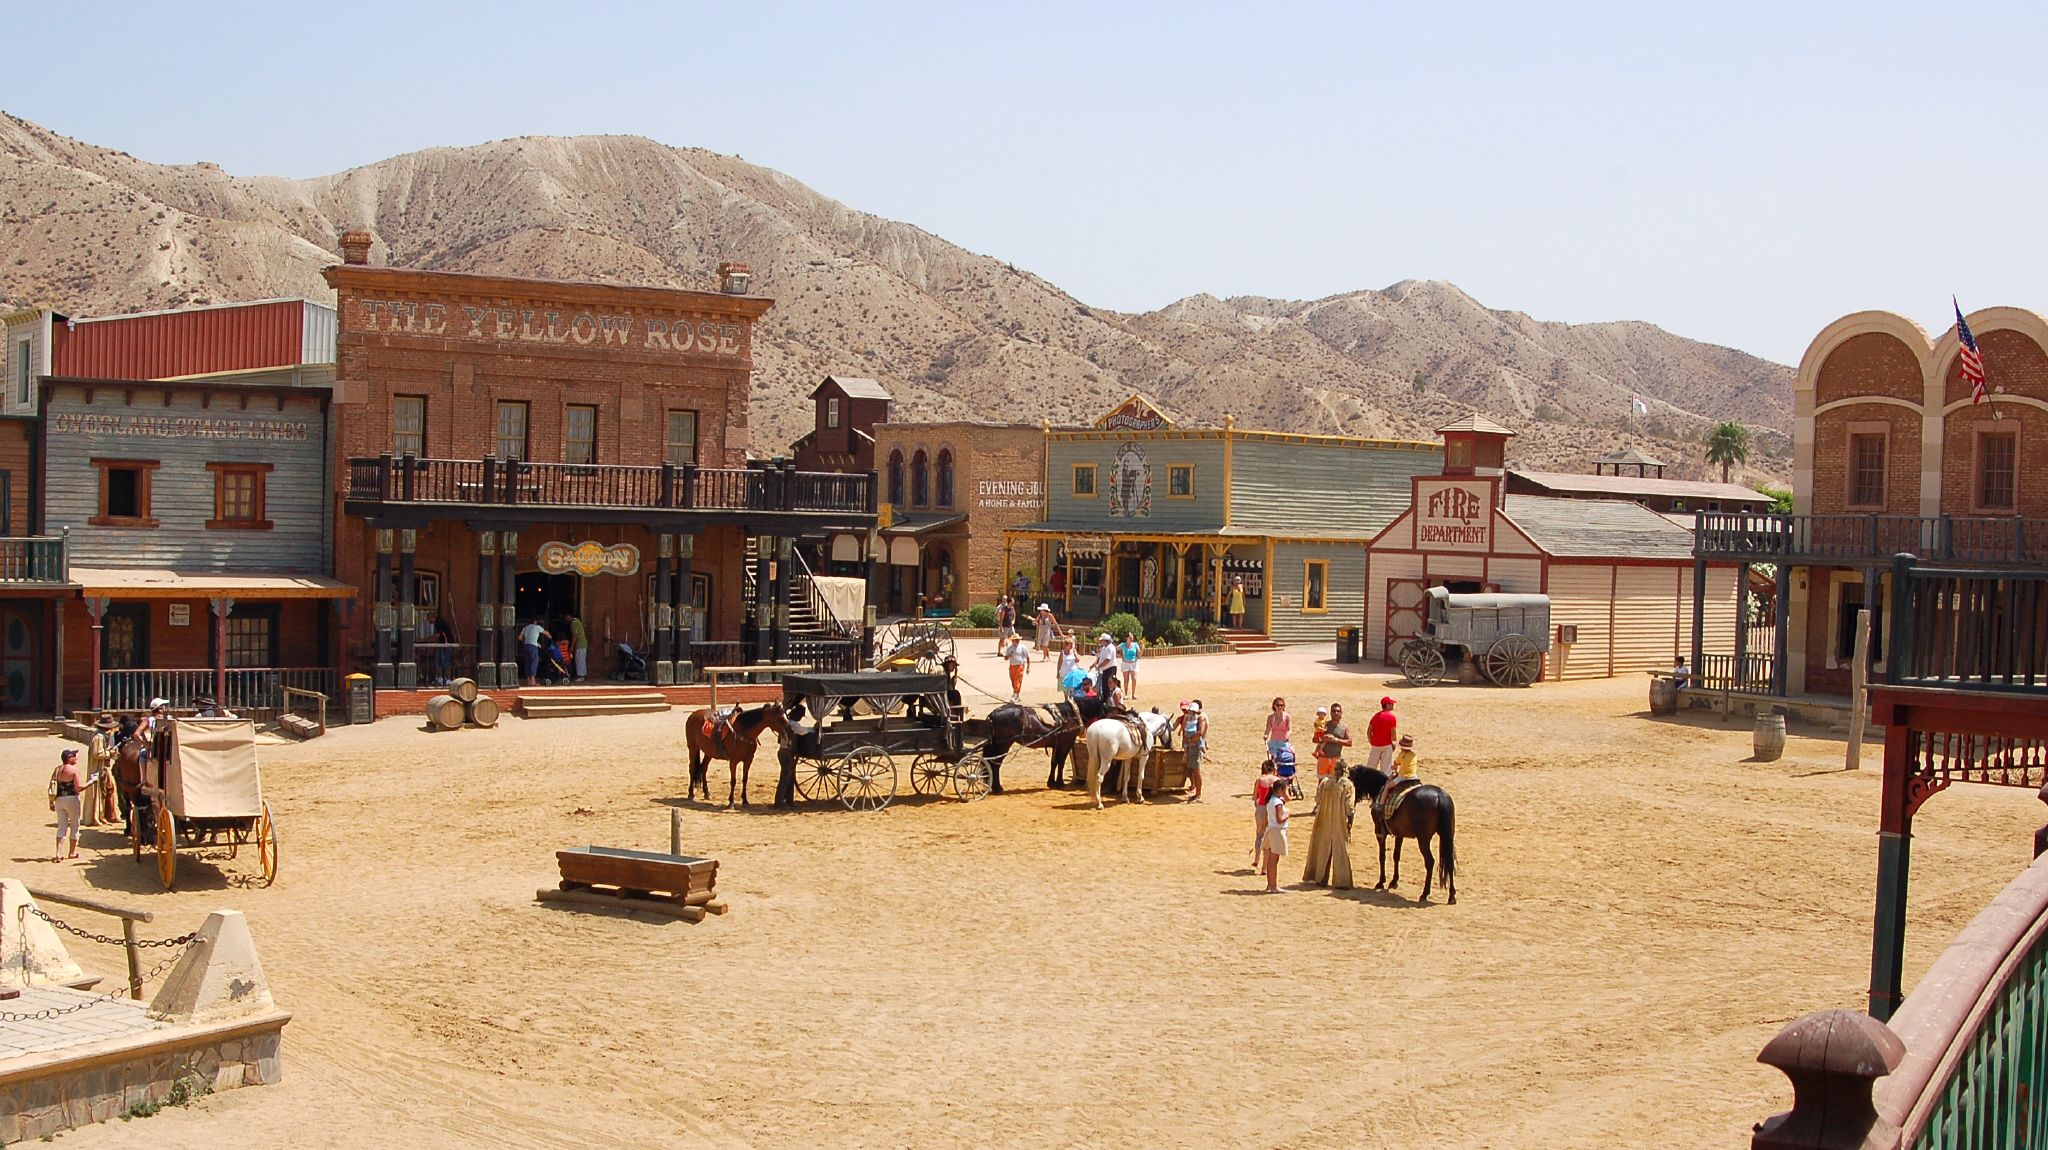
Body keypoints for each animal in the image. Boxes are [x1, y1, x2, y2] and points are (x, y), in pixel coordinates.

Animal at [1343, 765, 1458, 900]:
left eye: (1351, 781)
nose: (1351, 805)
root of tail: (1440, 797)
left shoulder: (1379, 832)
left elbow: (1382, 856)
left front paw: (1381, 882)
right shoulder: (1399, 834)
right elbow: (1396, 855)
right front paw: (1394, 881)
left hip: (1423, 840)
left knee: (1430, 861)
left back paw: (1424, 893)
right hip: (1448, 836)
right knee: (1449, 861)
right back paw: (1451, 896)